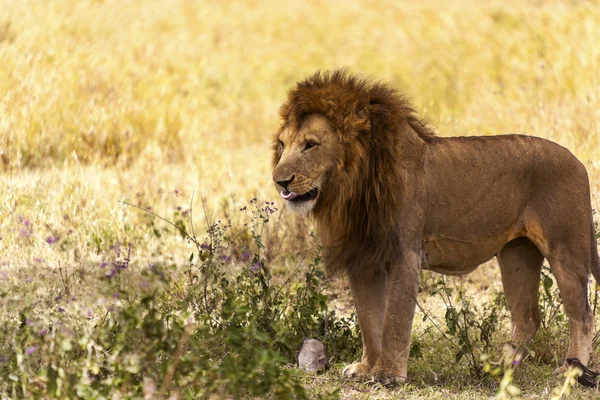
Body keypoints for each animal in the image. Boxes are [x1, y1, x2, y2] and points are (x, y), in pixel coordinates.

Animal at [272, 70, 600, 386]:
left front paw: (389, 375)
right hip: (516, 254)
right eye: (282, 146)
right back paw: (500, 368)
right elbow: (368, 319)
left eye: (310, 145)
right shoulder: (363, 259)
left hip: (565, 247)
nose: (280, 182)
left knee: (582, 314)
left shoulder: (405, 255)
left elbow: (394, 321)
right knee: (528, 317)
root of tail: (577, 161)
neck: (352, 188)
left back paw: (571, 370)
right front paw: (366, 368)